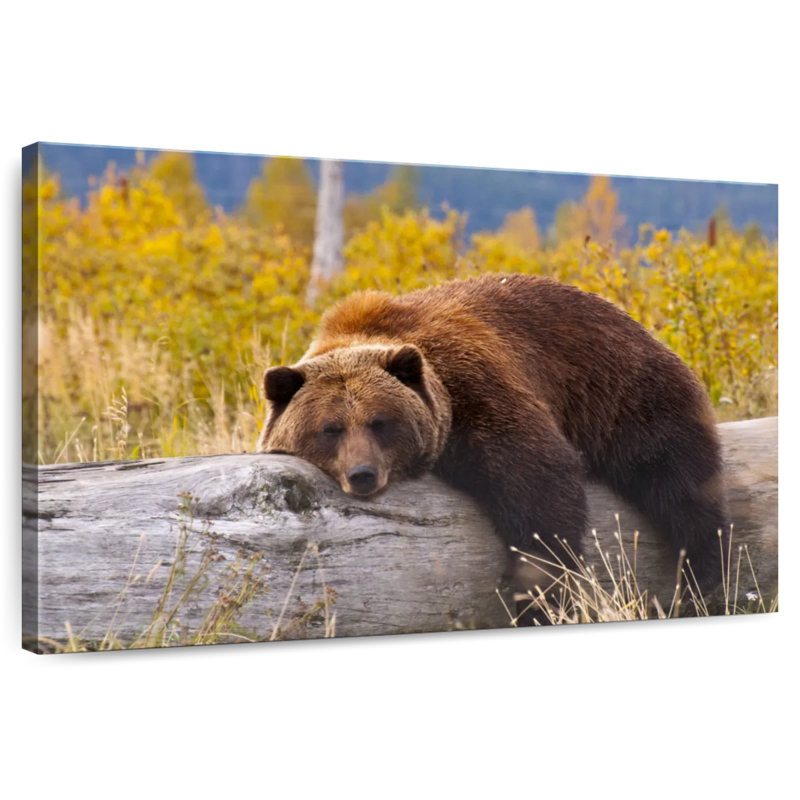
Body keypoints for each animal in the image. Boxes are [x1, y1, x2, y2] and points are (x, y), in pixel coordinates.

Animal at [258, 273, 729, 599]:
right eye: (330, 428)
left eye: (380, 421)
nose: (362, 474)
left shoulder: (475, 387)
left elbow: (539, 482)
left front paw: (538, 590)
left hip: (624, 394)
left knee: (679, 482)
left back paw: (703, 572)